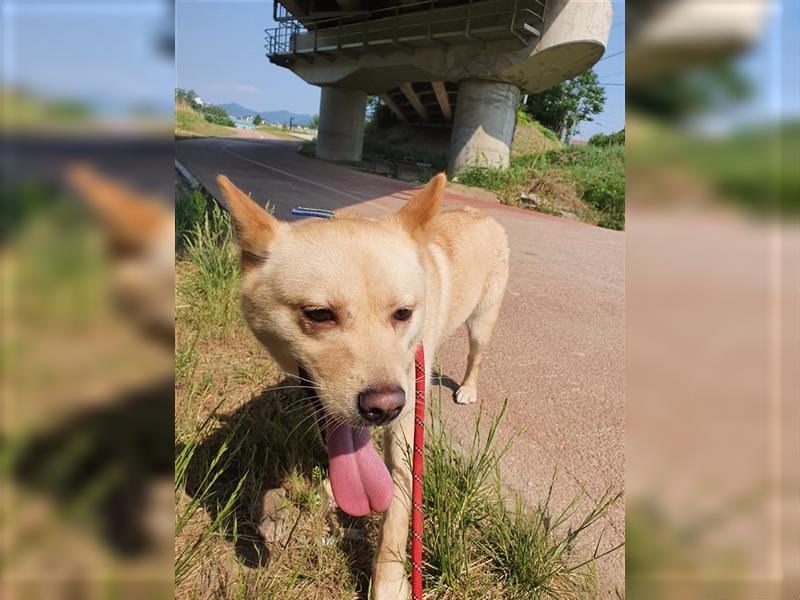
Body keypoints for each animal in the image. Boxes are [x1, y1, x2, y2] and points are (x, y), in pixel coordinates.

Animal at [219, 171, 506, 596]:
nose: (385, 406)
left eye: (403, 313)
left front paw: (388, 583)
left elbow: (398, 511)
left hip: (481, 323)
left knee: (477, 356)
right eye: (319, 314)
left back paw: (468, 387)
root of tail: (479, 211)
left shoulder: (407, 431)